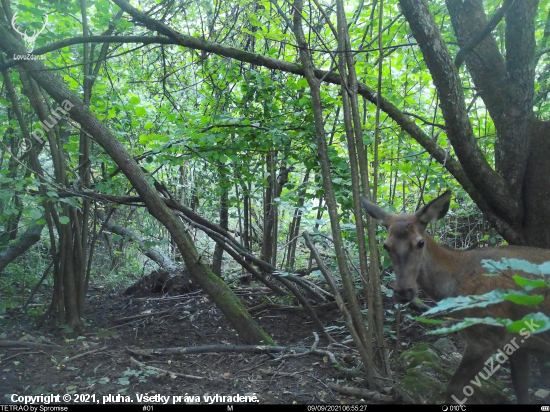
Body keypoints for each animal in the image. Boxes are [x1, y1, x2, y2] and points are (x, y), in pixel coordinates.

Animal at [360, 192, 550, 404]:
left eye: (420, 242)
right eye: (386, 245)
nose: (403, 291)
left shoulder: (486, 336)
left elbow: (453, 388)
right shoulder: (519, 341)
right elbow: (521, 391)